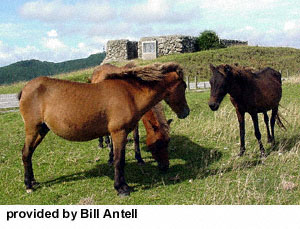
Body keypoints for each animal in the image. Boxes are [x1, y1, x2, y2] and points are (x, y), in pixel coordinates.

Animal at [18, 61, 189, 196]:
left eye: (168, 141)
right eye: (184, 86)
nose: (186, 112)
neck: (129, 93)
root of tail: (25, 89)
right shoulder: (118, 133)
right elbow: (119, 161)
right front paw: (121, 188)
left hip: (42, 130)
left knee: (29, 153)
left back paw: (33, 181)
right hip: (33, 129)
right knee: (26, 153)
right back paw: (28, 185)